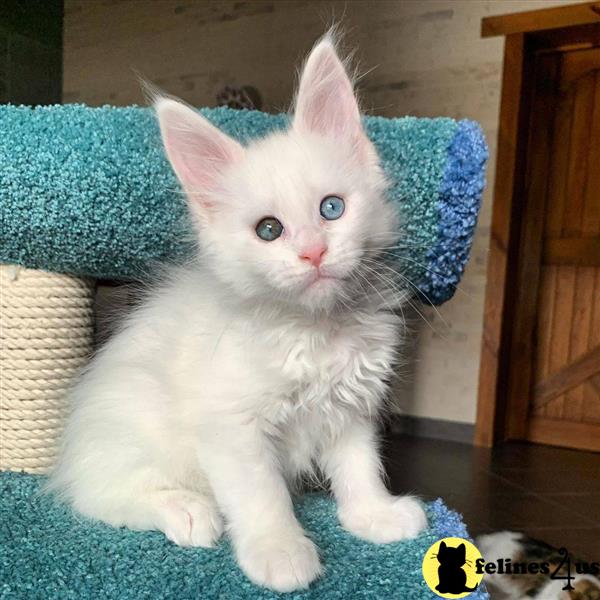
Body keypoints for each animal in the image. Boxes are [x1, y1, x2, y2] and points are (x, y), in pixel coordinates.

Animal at [49, 35, 428, 592]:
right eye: (269, 230)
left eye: (331, 209)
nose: (313, 253)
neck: (312, 328)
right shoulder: (232, 426)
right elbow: (262, 495)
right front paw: (280, 552)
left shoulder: (350, 406)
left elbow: (360, 468)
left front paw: (374, 516)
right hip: (137, 424)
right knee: (98, 495)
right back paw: (189, 511)